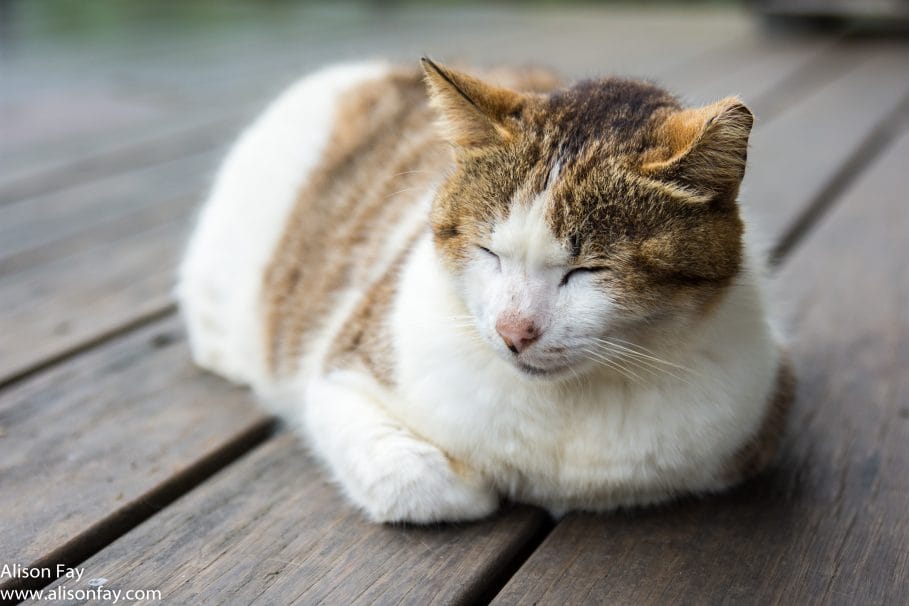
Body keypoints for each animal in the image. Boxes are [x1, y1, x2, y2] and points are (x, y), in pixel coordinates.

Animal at [176, 59, 788, 528]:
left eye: (588, 270)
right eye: (489, 252)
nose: (514, 331)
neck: (564, 413)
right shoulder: (339, 378)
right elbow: (424, 481)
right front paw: (480, 482)